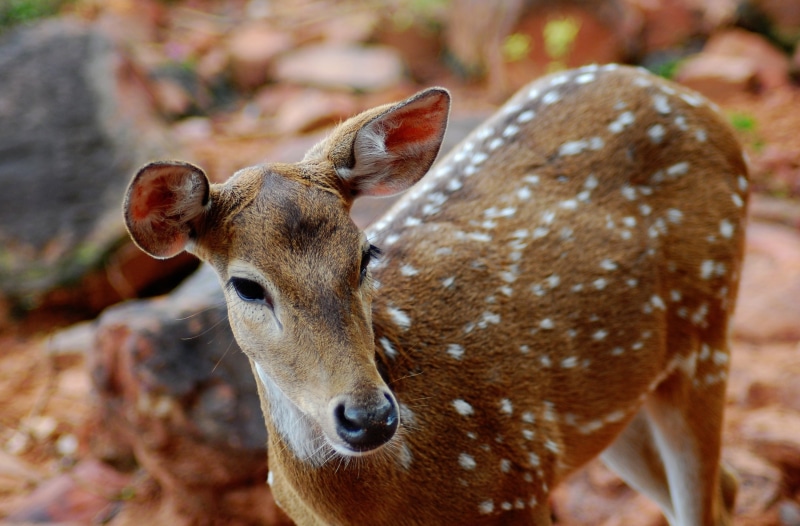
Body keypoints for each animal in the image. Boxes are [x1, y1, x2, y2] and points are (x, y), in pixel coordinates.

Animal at [123, 64, 748, 525]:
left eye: (365, 254)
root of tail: (684, 95)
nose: (368, 417)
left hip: (706, 328)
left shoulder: (514, 489)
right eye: (247, 286)